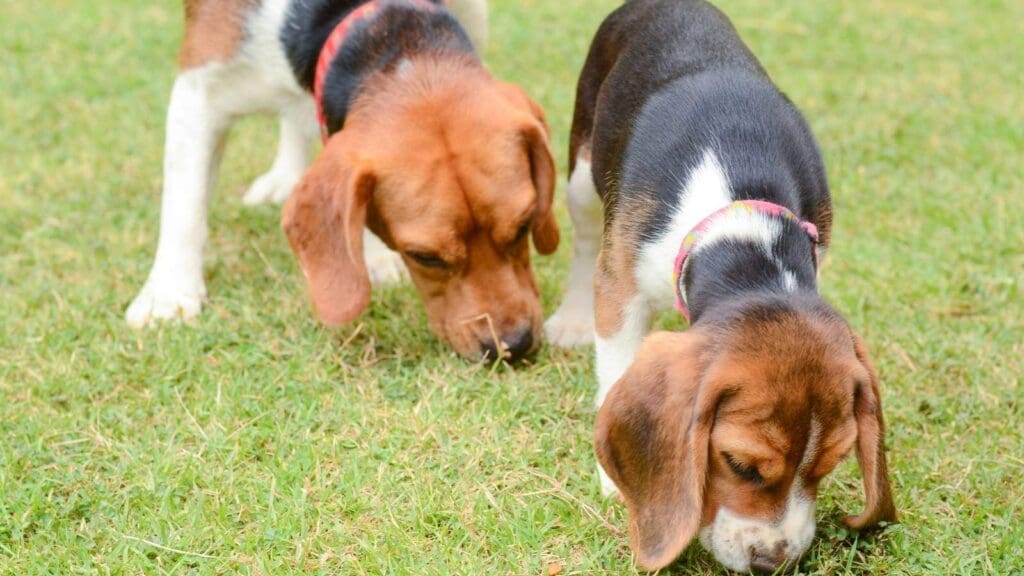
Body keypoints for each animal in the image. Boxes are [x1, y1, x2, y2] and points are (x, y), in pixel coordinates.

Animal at [130, 0, 561, 358]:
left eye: (525, 224)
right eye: (425, 257)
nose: (514, 346)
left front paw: (375, 253)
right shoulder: (199, 89)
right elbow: (185, 206)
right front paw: (169, 292)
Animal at [548, 0, 892, 565]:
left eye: (828, 466)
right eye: (740, 465)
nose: (772, 562)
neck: (743, 229)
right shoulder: (621, 288)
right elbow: (615, 365)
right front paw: (611, 477)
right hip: (581, 169)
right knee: (582, 240)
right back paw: (571, 319)